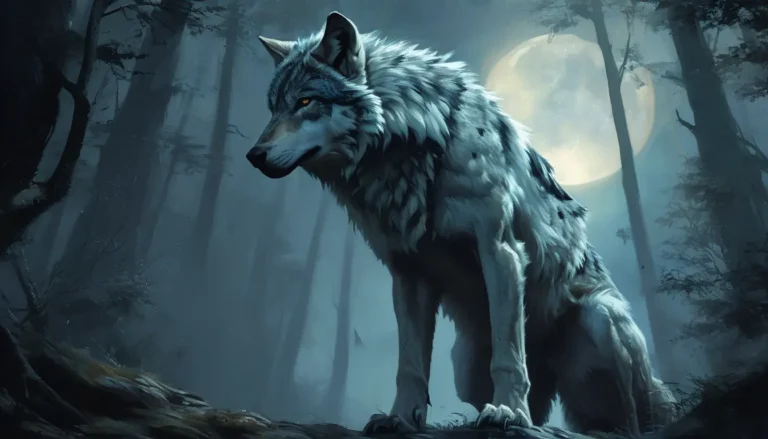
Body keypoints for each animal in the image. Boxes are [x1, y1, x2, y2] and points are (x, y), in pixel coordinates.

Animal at [246, 12, 677, 435]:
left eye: (305, 101)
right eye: (272, 108)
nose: (253, 155)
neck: (416, 143)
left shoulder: (500, 252)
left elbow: (507, 356)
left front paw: (507, 412)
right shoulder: (408, 270)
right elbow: (410, 365)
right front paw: (400, 419)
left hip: (599, 320)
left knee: (625, 425)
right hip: (463, 365)